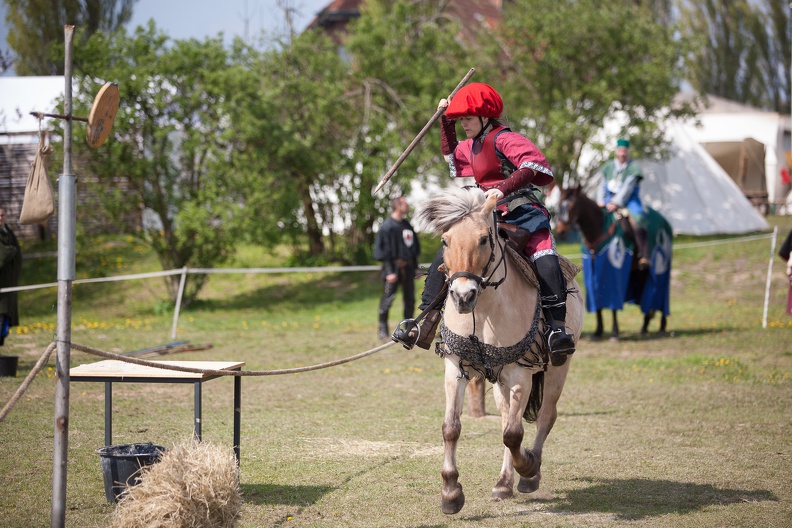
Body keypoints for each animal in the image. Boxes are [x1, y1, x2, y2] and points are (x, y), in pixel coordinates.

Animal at [418, 188, 584, 512]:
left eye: (484, 239)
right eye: (445, 241)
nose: (462, 296)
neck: (484, 311)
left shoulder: (521, 375)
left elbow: (514, 433)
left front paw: (529, 468)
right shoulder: (456, 369)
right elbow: (452, 428)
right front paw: (451, 491)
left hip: (558, 367)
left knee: (545, 417)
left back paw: (528, 475)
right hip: (499, 381)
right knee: (508, 417)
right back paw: (504, 483)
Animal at [552, 188, 672, 340]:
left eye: (572, 207)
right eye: (559, 205)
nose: (561, 232)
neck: (597, 231)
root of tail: (665, 222)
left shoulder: (613, 271)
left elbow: (613, 299)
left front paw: (615, 331)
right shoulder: (592, 271)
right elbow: (597, 300)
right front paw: (598, 331)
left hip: (660, 268)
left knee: (660, 291)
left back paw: (661, 325)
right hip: (640, 272)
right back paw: (645, 326)